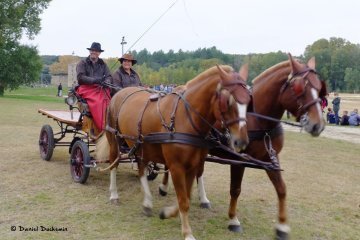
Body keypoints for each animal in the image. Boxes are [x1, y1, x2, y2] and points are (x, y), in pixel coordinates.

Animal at [97, 64, 252, 240]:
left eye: (249, 100)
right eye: (228, 101)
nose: (241, 141)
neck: (185, 117)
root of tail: (118, 93)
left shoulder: (192, 166)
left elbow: (187, 197)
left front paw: (168, 213)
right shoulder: (177, 167)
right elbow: (183, 201)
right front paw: (187, 233)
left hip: (141, 145)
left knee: (142, 168)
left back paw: (147, 203)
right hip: (114, 139)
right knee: (113, 164)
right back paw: (114, 195)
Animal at [158, 54, 326, 240]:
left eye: (319, 87)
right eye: (300, 88)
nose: (318, 125)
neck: (259, 121)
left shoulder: (270, 159)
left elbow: (281, 189)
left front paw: (282, 226)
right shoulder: (239, 160)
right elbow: (235, 189)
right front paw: (233, 220)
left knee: (199, 171)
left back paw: (203, 199)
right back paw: (164, 187)